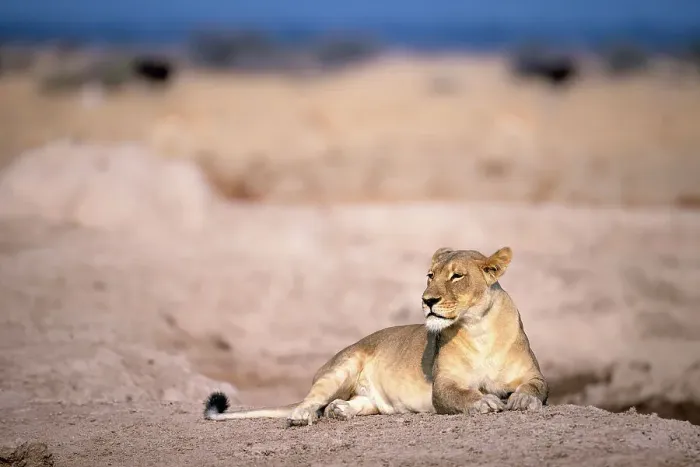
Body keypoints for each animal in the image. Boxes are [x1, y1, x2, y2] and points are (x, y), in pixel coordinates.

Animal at [204, 246, 548, 426]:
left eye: (457, 276)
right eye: (430, 276)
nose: (427, 300)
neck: (479, 329)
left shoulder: (535, 375)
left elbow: (535, 388)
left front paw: (520, 399)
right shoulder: (443, 385)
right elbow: (462, 395)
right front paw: (485, 401)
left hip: (372, 398)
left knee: (359, 403)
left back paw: (340, 410)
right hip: (341, 366)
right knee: (311, 399)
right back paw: (304, 414)